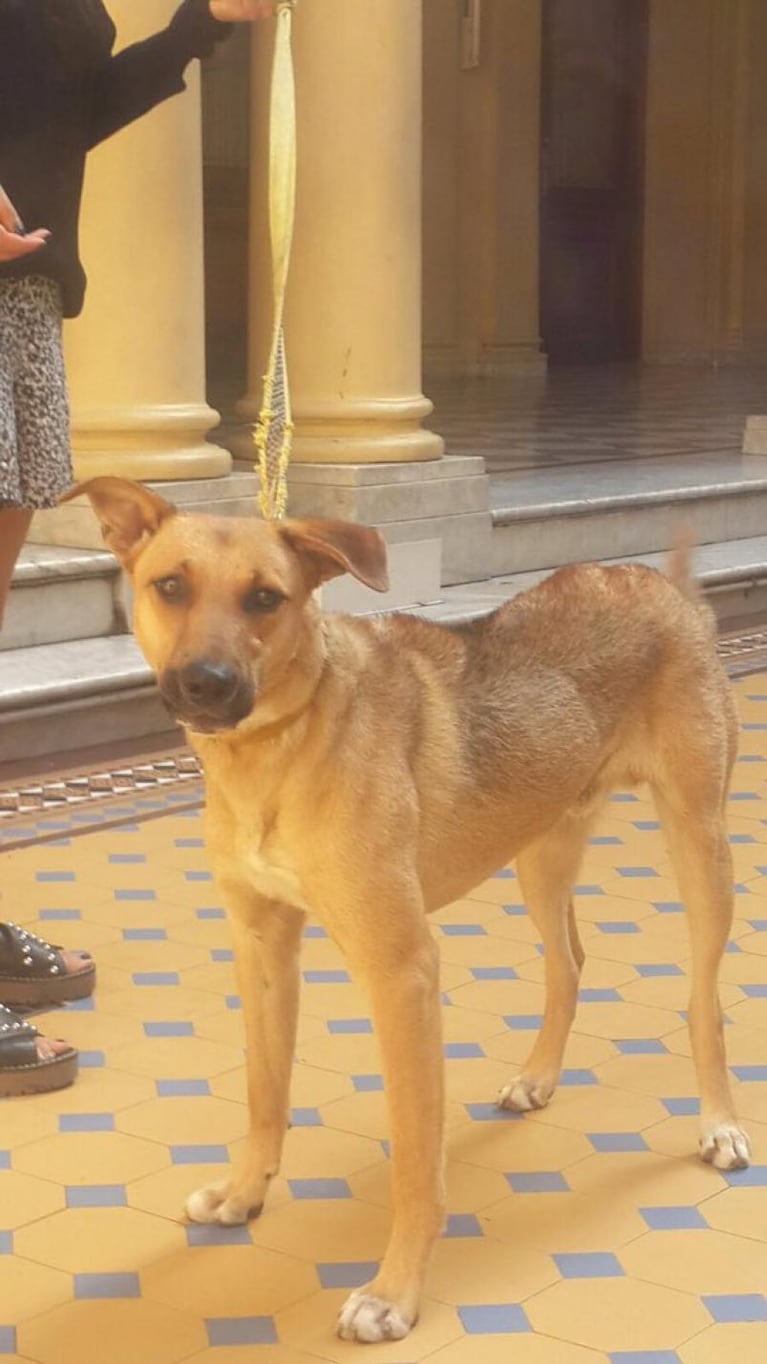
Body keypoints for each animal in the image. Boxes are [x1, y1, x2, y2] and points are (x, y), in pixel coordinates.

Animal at [65, 480, 747, 1342]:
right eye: (170, 586)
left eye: (266, 598)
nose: (207, 683)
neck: (282, 746)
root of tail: (660, 585)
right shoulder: (261, 946)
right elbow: (263, 1096)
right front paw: (243, 1194)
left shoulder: (401, 973)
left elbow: (416, 1160)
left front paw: (394, 1293)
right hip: (542, 848)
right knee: (568, 962)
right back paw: (537, 1078)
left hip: (698, 841)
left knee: (702, 1000)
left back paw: (718, 1122)